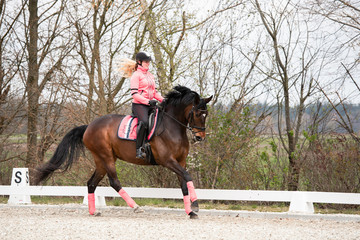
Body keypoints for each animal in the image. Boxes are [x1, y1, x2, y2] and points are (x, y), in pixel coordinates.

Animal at [35, 86, 212, 219]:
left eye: (206, 114)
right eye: (197, 113)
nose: (200, 137)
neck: (172, 127)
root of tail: (88, 127)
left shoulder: (180, 161)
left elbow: (183, 184)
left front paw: (190, 211)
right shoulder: (168, 161)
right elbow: (187, 176)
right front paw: (196, 204)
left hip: (101, 160)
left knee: (91, 183)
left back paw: (94, 211)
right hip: (106, 157)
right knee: (114, 182)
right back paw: (136, 207)